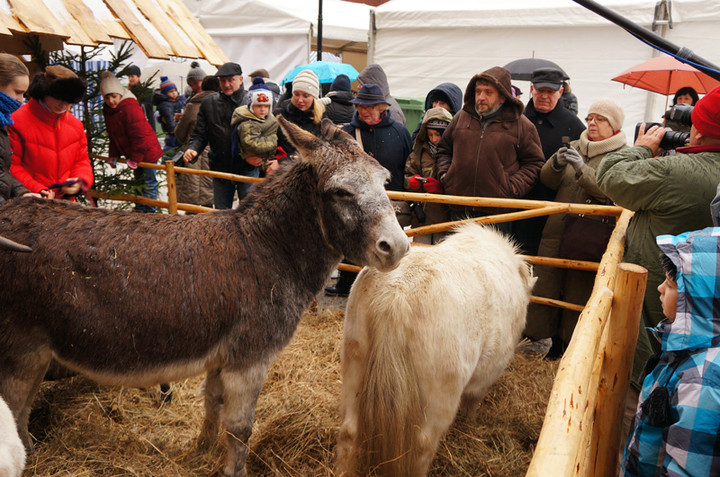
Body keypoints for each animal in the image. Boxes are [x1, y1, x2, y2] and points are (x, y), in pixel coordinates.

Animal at [336, 223, 536, 476]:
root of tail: (397, 292)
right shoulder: (488, 373)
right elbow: (473, 402)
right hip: (439, 399)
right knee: (422, 447)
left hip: (354, 369)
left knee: (348, 432)